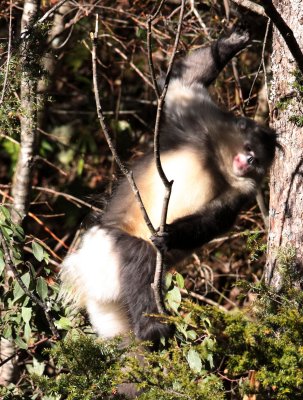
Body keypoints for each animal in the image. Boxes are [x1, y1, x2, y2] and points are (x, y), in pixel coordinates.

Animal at [60, 29, 280, 346]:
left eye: (258, 160)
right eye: (249, 150)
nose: (248, 162)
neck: (218, 161)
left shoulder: (242, 191)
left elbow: (215, 220)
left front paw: (171, 235)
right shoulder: (199, 120)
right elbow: (179, 83)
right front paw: (230, 46)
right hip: (106, 241)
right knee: (140, 255)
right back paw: (153, 327)